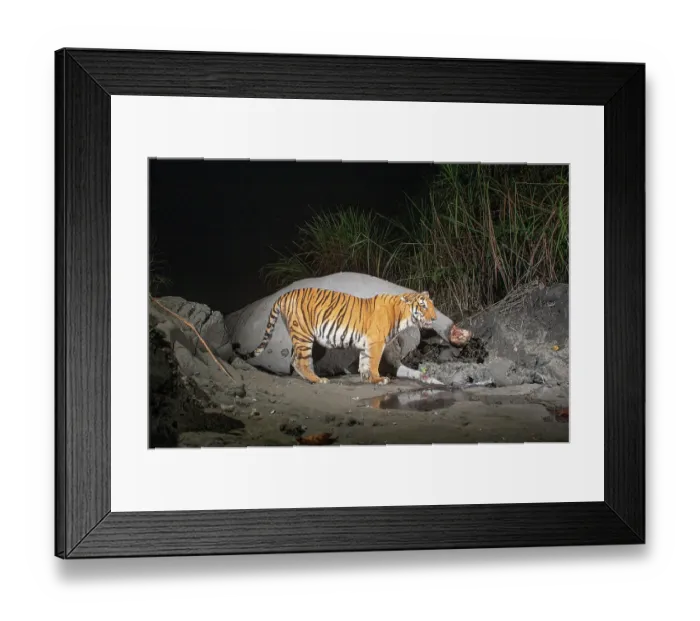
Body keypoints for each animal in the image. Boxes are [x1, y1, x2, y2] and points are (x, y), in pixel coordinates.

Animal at [241, 288, 438, 385]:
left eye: (432, 305)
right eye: (423, 306)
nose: (435, 318)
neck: (403, 315)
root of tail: (284, 295)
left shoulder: (367, 344)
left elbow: (364, 362)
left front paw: (368, 379)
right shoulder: (376, 342)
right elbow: (373, 363)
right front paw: (378, 379)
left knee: (294, 359)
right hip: (303, 334)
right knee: (300, 361)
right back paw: (318, 380)